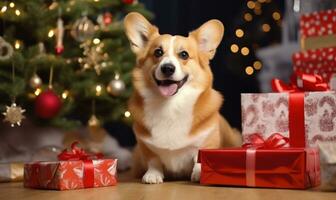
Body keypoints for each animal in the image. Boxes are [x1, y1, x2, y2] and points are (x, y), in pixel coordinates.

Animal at [123, 12, 242, 184]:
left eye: (184, 54)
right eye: (158, 52)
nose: (167, 68)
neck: (171, 105)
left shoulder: (207, 142)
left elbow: (199, 158)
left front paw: (199, 173)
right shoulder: (145, 145)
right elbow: (153, 160)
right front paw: (153, 175)